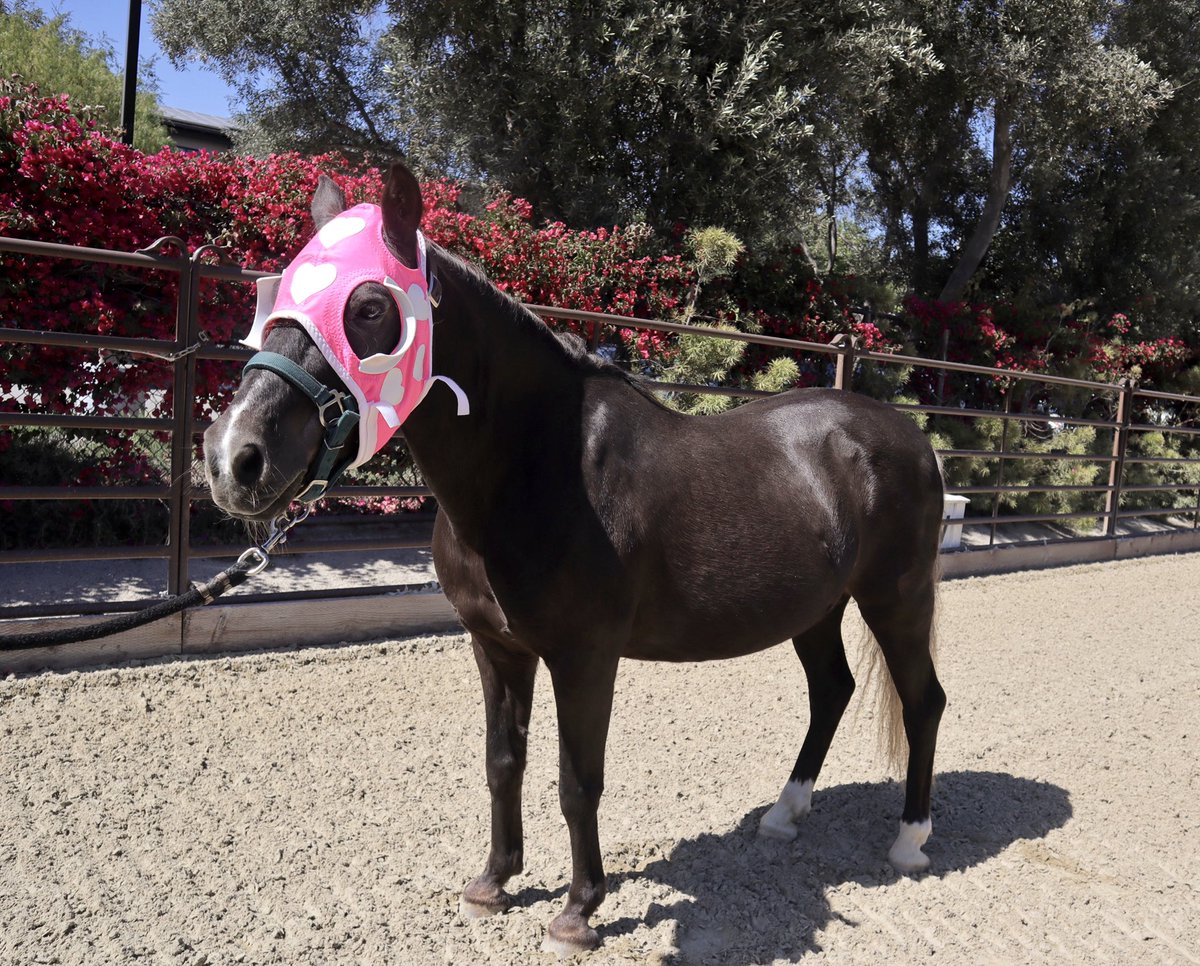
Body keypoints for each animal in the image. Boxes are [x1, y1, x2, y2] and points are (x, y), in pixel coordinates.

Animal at [203, 161, 947, 955]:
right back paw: (784, 814)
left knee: (922, 700)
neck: (537, 466)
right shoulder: (497, 648)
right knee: (832, 691)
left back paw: (910, 840)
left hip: (895, 598)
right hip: (817, 608)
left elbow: (576, 780)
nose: (235, 458)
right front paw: (493, 883)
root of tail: (908, 436)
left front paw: (578, 912)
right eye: (277, 292)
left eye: (370, 307)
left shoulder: (584, 657)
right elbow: (504, 763)